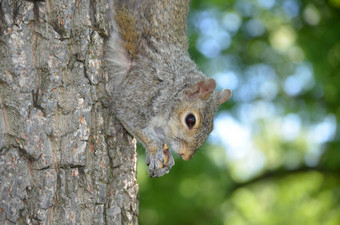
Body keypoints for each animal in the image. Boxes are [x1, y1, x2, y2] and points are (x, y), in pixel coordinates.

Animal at [105, 0, 231, 178]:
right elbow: (128, 114)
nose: (186, 156)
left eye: (211, 128)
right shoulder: (140, 88)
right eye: (190, 120)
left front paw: (167, 156)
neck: (172, 88)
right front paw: (154, 149)